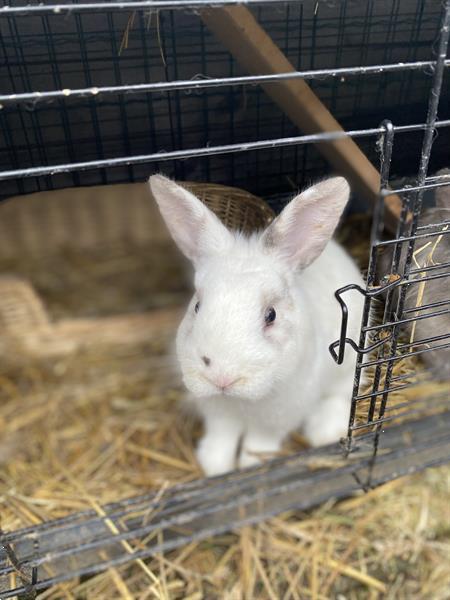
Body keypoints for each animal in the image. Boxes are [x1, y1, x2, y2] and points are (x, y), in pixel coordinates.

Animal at [149, 175, 364, 478]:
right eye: (197, 306)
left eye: (271, 315)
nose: (221, 377)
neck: (239, 401)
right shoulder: (218, 412)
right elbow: (222, 438)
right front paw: (216, 466)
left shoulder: (279, 415)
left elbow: (259, 442)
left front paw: (250, 464)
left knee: (340, 395)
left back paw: (325, 431)